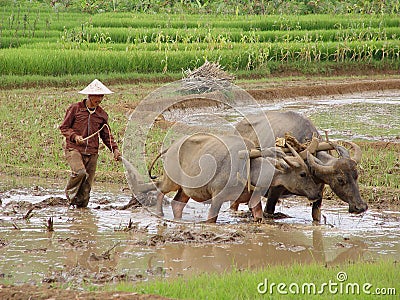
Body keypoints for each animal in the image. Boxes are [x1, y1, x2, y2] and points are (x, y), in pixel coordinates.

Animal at [152, 133, 320, 223]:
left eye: (309, 171)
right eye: (302, 174)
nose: (317, 194)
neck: (248, 167)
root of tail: (172, 147)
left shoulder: (254, 199)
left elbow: (258, 215)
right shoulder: (217, 198)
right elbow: (211, 219)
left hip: (186, 189)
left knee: (177, 204)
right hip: (171, 181)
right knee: (160, 189)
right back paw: (159, 214)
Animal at [234, 111, 368, 221]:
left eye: (356, 176)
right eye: (340, 179)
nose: (361, 207)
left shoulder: (319, 192)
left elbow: (316, 216)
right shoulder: (274, 191)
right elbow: (268, 212)